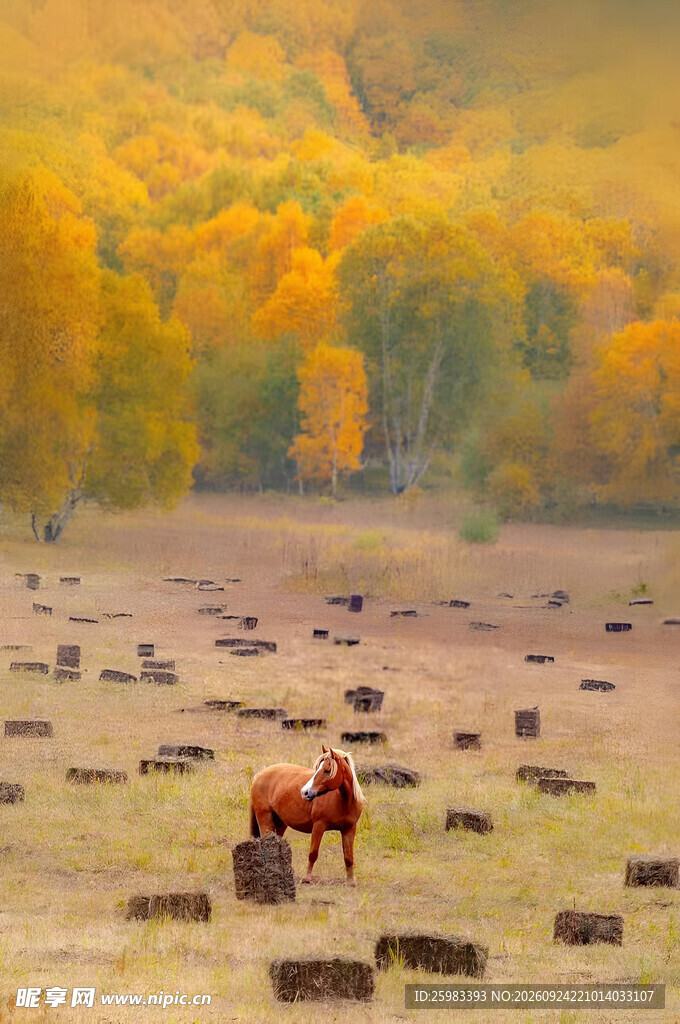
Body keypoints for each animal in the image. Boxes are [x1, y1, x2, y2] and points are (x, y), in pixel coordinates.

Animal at [249, 745, 366, 886]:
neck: (343, 801)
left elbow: (348, 857)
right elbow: (313, 854)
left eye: (327, 770)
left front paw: (350, 882)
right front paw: (307, 878)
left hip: (280, 823)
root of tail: (257, 776)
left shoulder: (349, 829)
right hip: (265, 819)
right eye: (317, 769)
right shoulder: (319, 826)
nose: (305, 792)